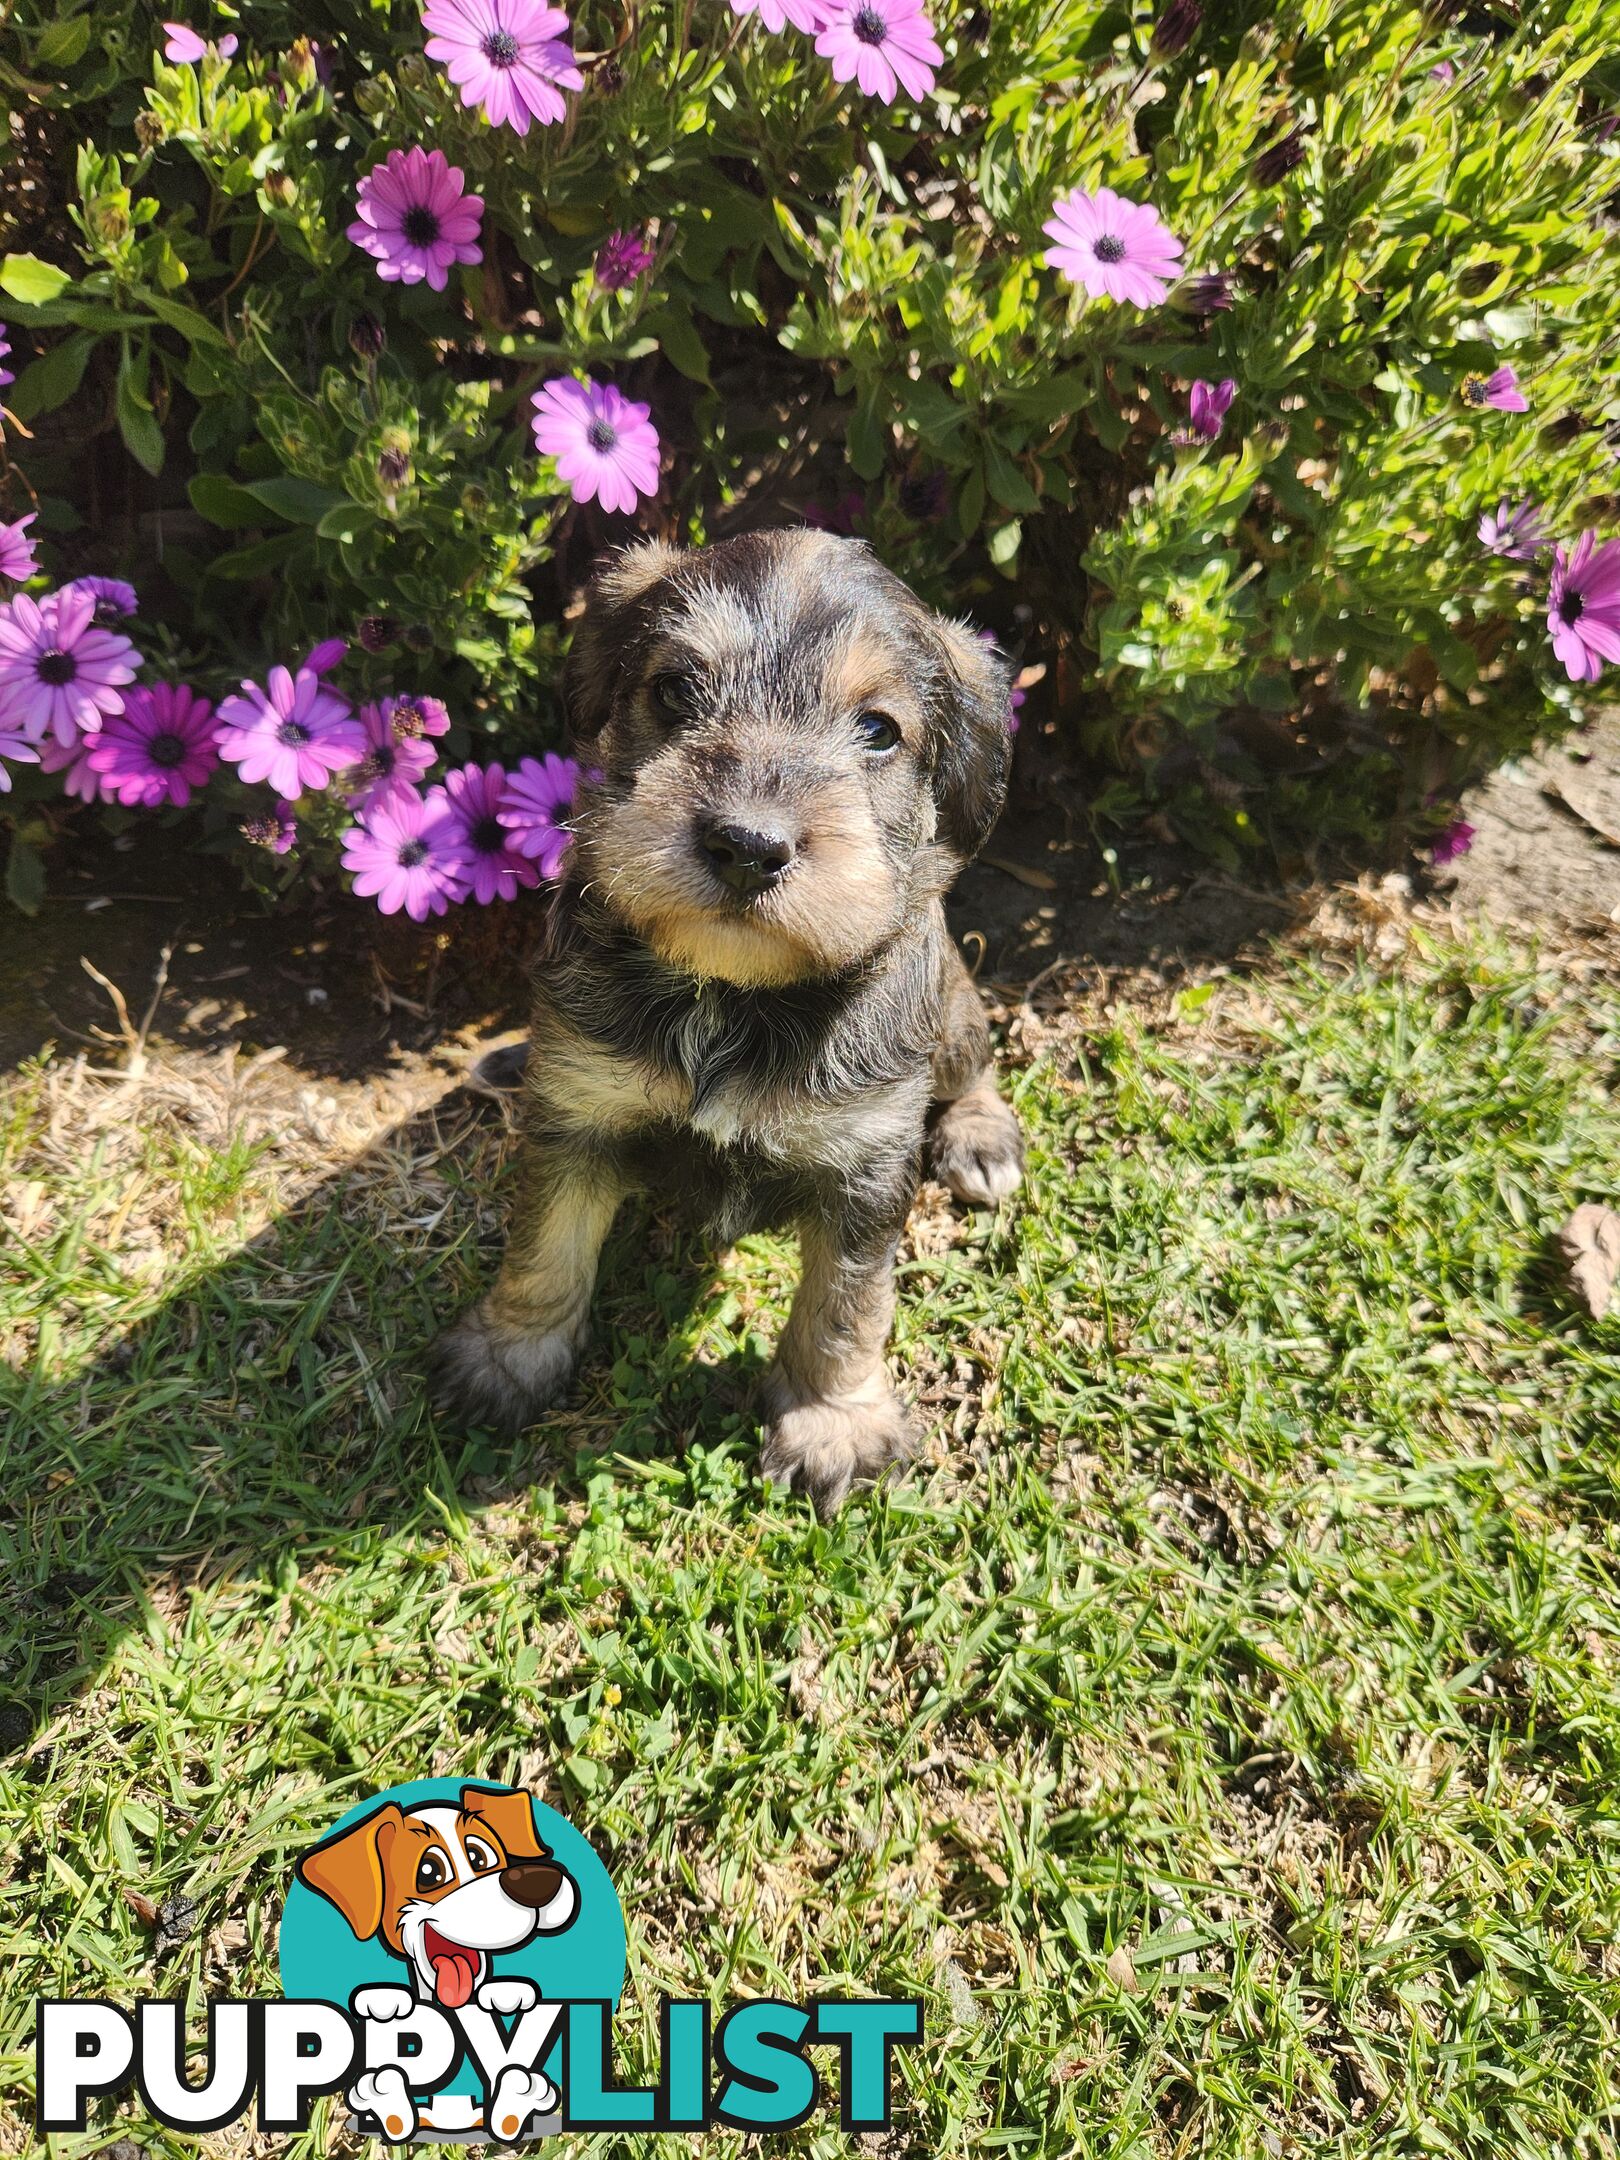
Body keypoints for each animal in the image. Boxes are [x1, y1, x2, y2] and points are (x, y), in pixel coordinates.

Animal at [440, 535, 1028, 1520]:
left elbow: (846, 1306)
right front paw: (511, 1356)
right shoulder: (577, 1113)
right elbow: (545, 1244)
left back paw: (981, 1139)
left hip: (944, 1011)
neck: (732, 994)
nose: (748, 847)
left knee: (974, 1058)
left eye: (879, 730)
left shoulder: (866, 1167)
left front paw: (833, 1423)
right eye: (675, 689)